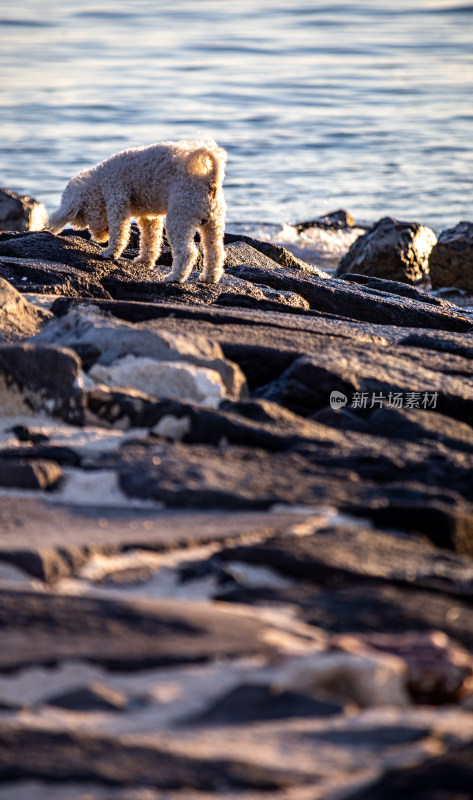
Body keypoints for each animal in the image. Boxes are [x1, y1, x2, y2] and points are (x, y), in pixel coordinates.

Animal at [47, 141, 227, 284]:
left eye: (83, 217)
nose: (99, 238)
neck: (100, 179)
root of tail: (210, 178)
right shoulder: (149, 216)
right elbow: (149, 239)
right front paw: (144, 261)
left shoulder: (117, 197)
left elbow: (119, 232)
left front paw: (110, 252)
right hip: (213, 223)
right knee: (216, 252)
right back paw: (209, 277)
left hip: (180, 216)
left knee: (187, 252)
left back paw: (175, 277)